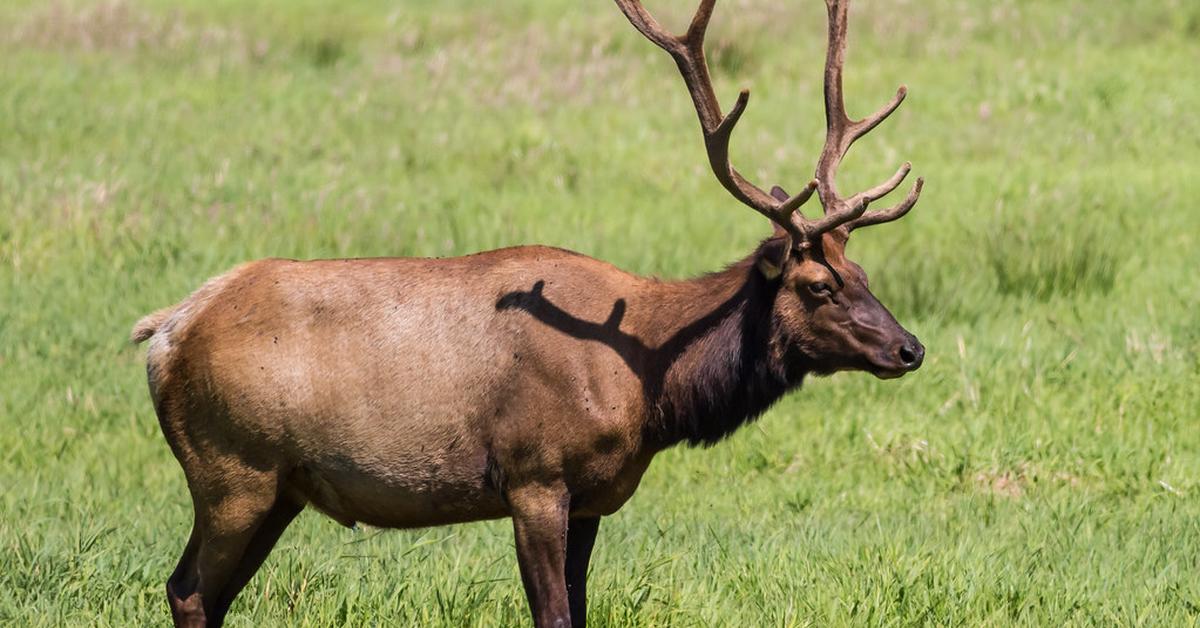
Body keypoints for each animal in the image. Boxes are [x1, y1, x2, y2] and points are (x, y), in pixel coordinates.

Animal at [136, 1, 926, 628]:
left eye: (863, 274)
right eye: (818, 285)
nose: (910, 349)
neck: (646, 387)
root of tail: (164, 332)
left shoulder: (592, 498)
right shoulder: (535, 476)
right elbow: (553, 615)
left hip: (277, 487)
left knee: (205, 593)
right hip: (232, 469)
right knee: (188, 590)